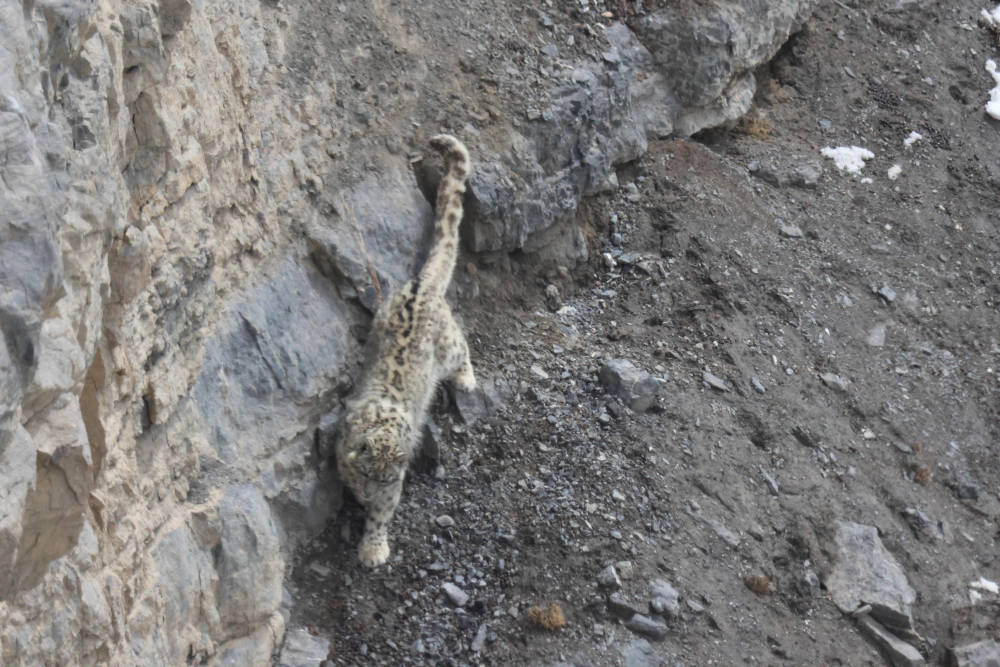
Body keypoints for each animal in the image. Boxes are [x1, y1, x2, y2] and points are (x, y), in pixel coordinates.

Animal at [336, 134, 476, 567]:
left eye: (387, 479)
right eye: (367, 472)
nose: (368, 494)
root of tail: (421, 284)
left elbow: (383, 516)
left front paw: (373, 546)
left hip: (447, 346)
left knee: (463, 348)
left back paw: (467, 380)